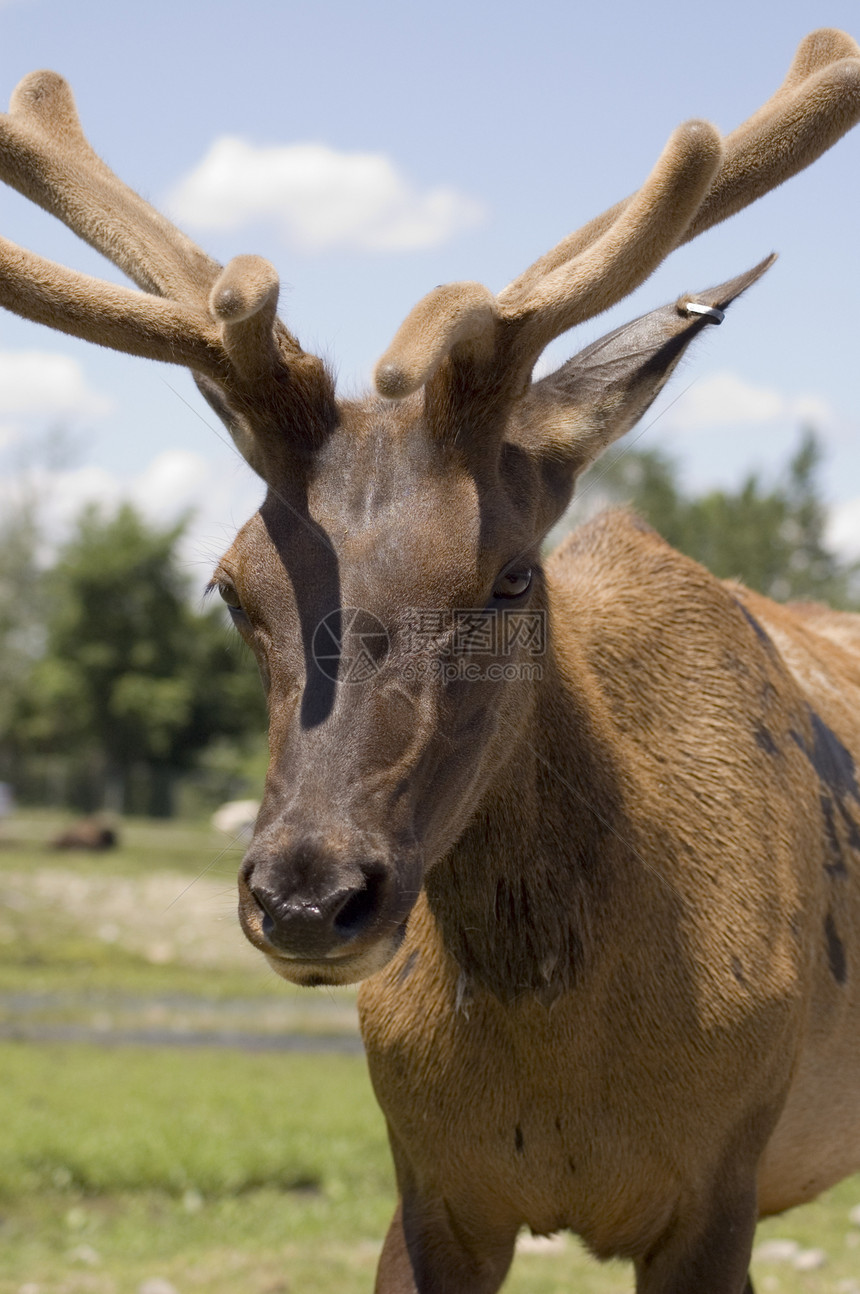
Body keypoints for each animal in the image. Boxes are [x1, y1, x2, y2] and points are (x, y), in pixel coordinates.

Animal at [1, 30, 858, 1294]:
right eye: (229, 586)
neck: (565, 1071)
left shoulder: (721, 1188)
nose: (308, 896)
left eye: (510, 573)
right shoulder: (428, 1185)